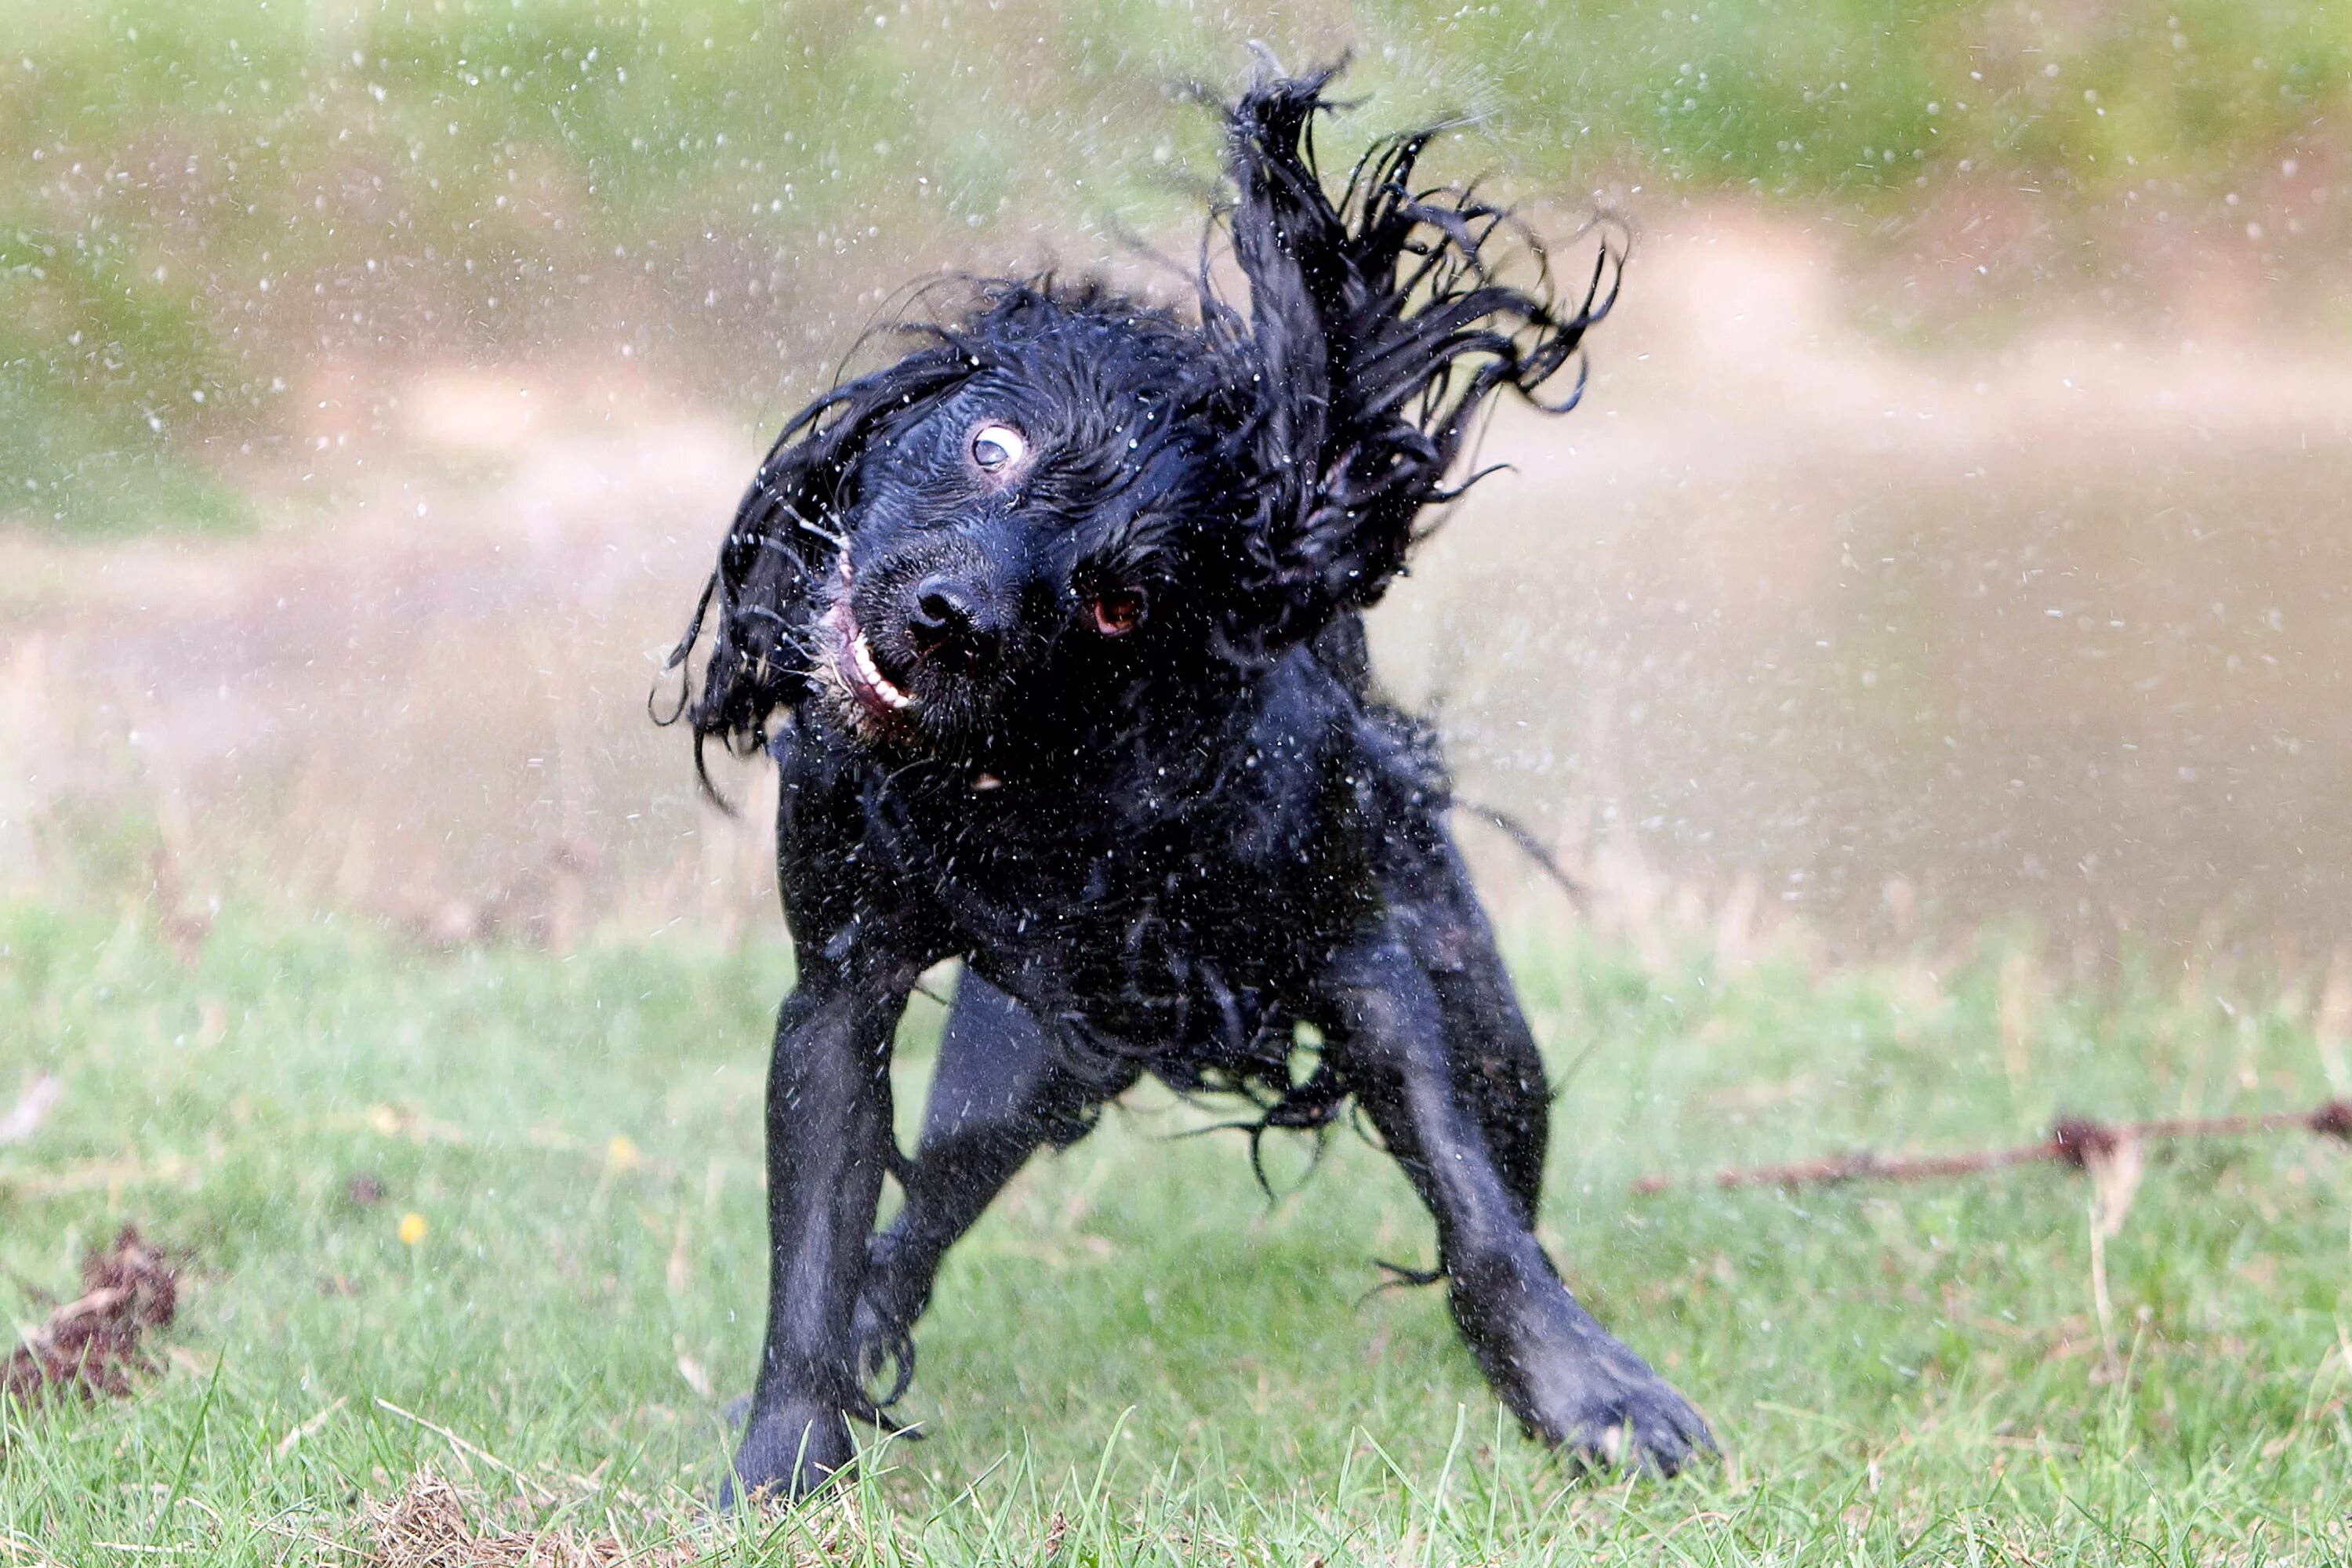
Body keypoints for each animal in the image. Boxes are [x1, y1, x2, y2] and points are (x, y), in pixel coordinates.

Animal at [663, 67, 1712, 1504]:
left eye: (1117, 598)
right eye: (993, 444)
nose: (951, 617)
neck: (1015, 772)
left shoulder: (1359, 963)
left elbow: (1477, 1213)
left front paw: (1587, 1391)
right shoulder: (838, 987)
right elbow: (813, 1257)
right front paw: (783, 1462)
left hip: (1480, 1025)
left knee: (1504, 1150)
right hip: (1014, 1065)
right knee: (921, 1212)